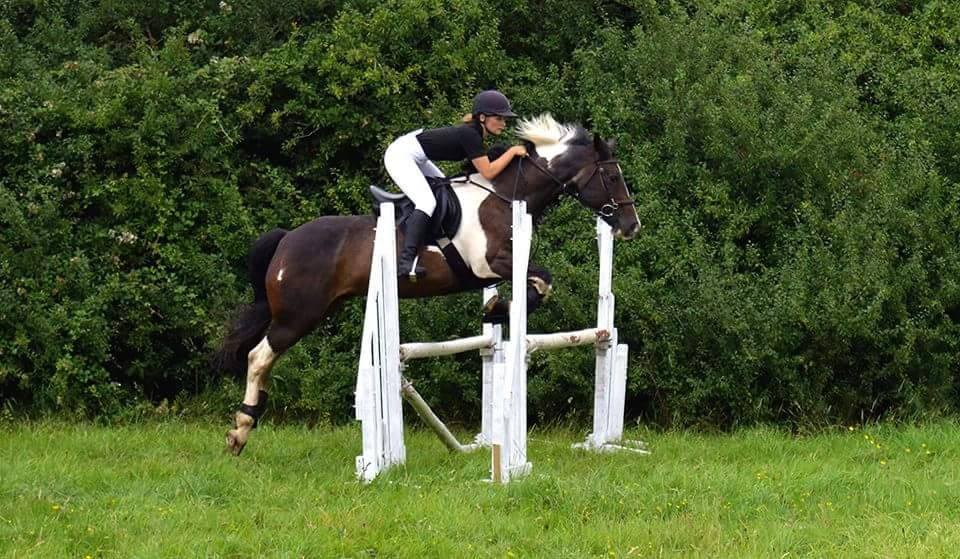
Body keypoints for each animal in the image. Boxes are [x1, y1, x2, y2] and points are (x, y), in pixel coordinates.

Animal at [215, 114, 640, 455]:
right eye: (612, 176)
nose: (632, 226)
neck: (505, 197)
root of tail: (287, 239)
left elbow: (539, 283)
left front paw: (495, 309)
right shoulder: (488, 264)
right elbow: (542, 280)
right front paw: (499, 307)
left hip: (314, 310)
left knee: (264, 357)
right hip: (298, 315)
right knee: (259, 356)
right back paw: (241, 428)